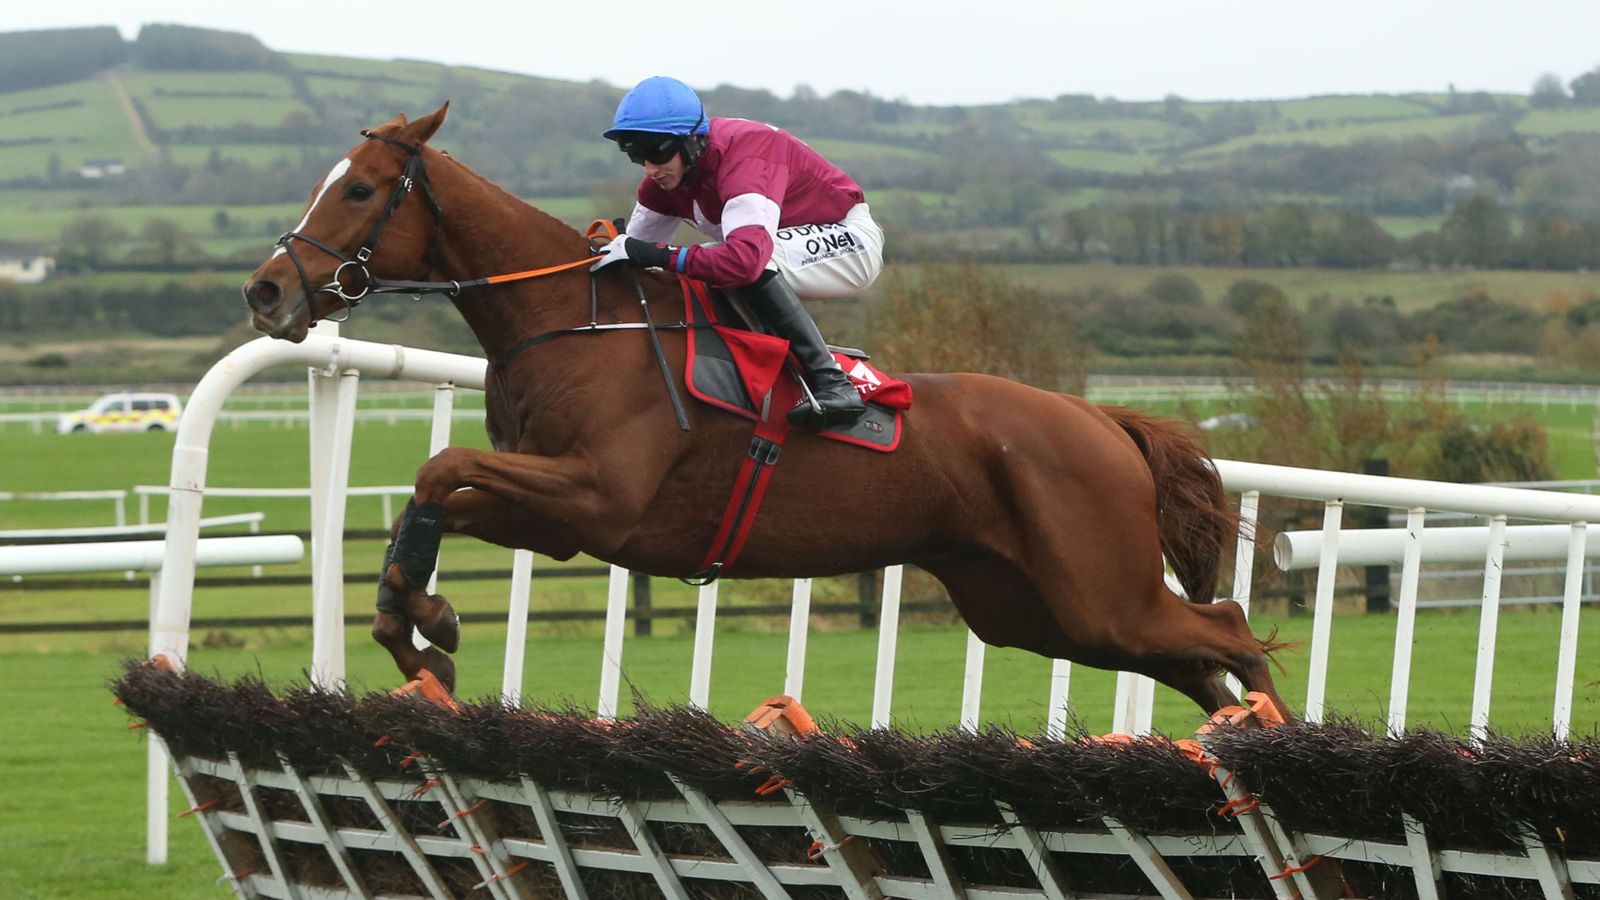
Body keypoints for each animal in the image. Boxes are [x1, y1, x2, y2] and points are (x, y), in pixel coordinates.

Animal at [240, 103, 1286, 720]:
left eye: (361, 188)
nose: (266, 292)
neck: (574, 322)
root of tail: (1103, 421)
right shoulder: (560, 516)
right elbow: (434, 497)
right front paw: (419, 624)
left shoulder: (598, 496)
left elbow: (439, 469)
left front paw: (425, 623)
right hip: (1039, 612)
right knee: (1202, 659)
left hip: (1099, 594)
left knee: (1233, 626)